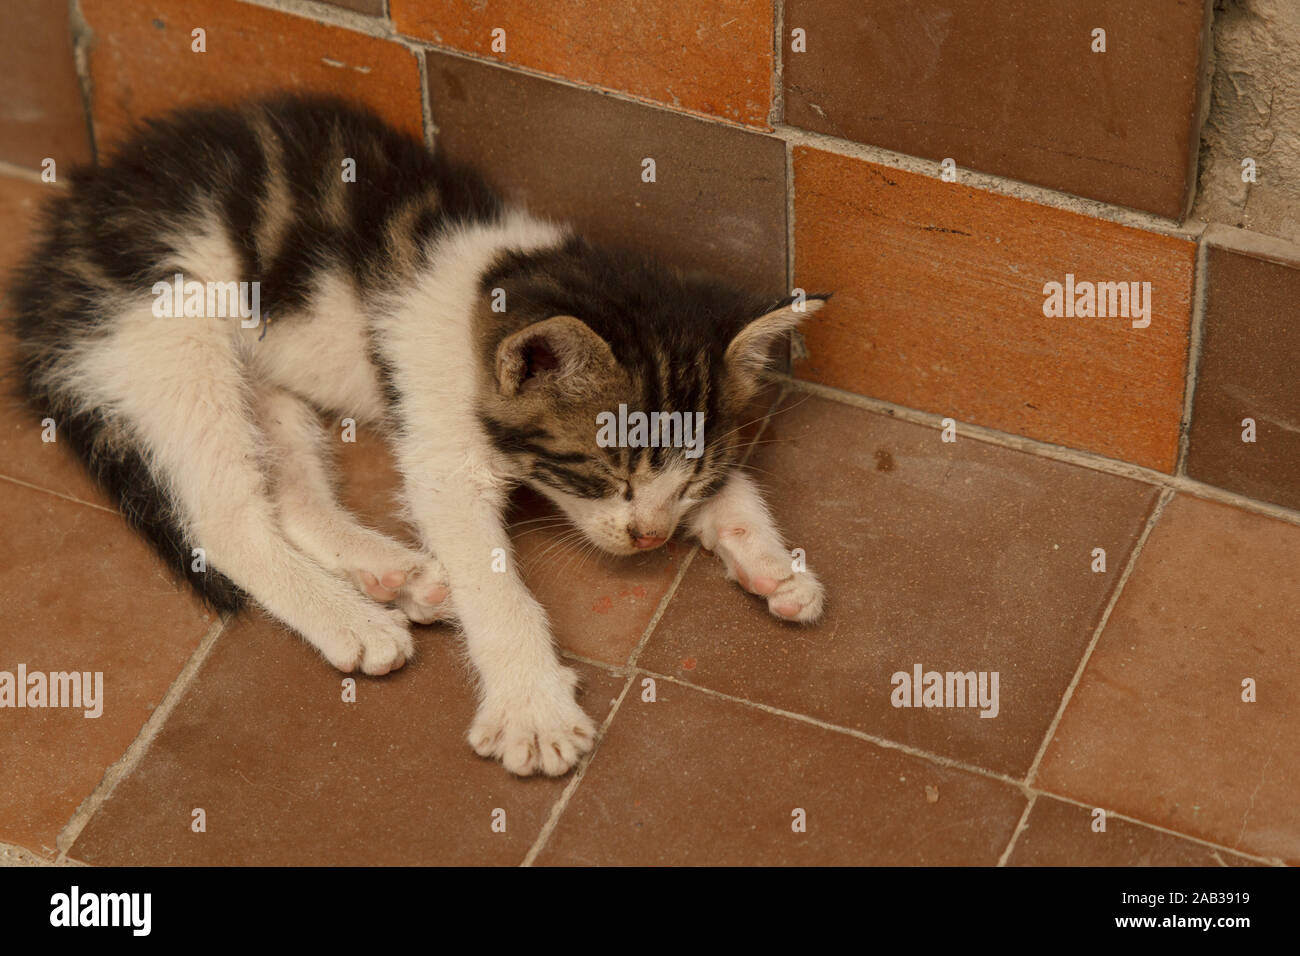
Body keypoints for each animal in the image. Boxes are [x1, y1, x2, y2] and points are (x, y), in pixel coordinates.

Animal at [7, 95, 821, 780]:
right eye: (606, 472)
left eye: (689, 480)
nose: (650, 537)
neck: (492, 291)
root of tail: (64, 237)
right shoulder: (442, 451)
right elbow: (493, 580)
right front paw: (532, 708)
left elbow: (735, 487)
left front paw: (770, 563)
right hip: (169, 325)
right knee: (225, 520)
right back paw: (354, 619)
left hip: (257, 376)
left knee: (287, 490)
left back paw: (397, 576)